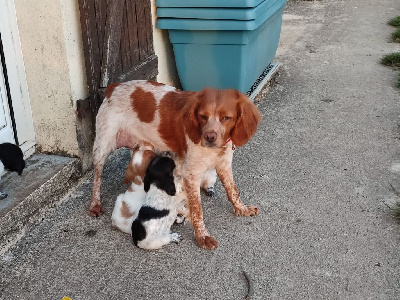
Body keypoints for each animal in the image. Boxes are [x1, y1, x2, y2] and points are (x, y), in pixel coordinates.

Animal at [89, 80, 260, 251]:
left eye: (226, 117)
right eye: (202, 116)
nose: (209, 137)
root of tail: (114, 86)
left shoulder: (224, 164)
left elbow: (233, 191)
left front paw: (242, 209)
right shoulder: (191, 174)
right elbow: (197, 210)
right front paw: (203, 237)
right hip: (102, 147)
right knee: (97, 178)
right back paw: (95, 205)